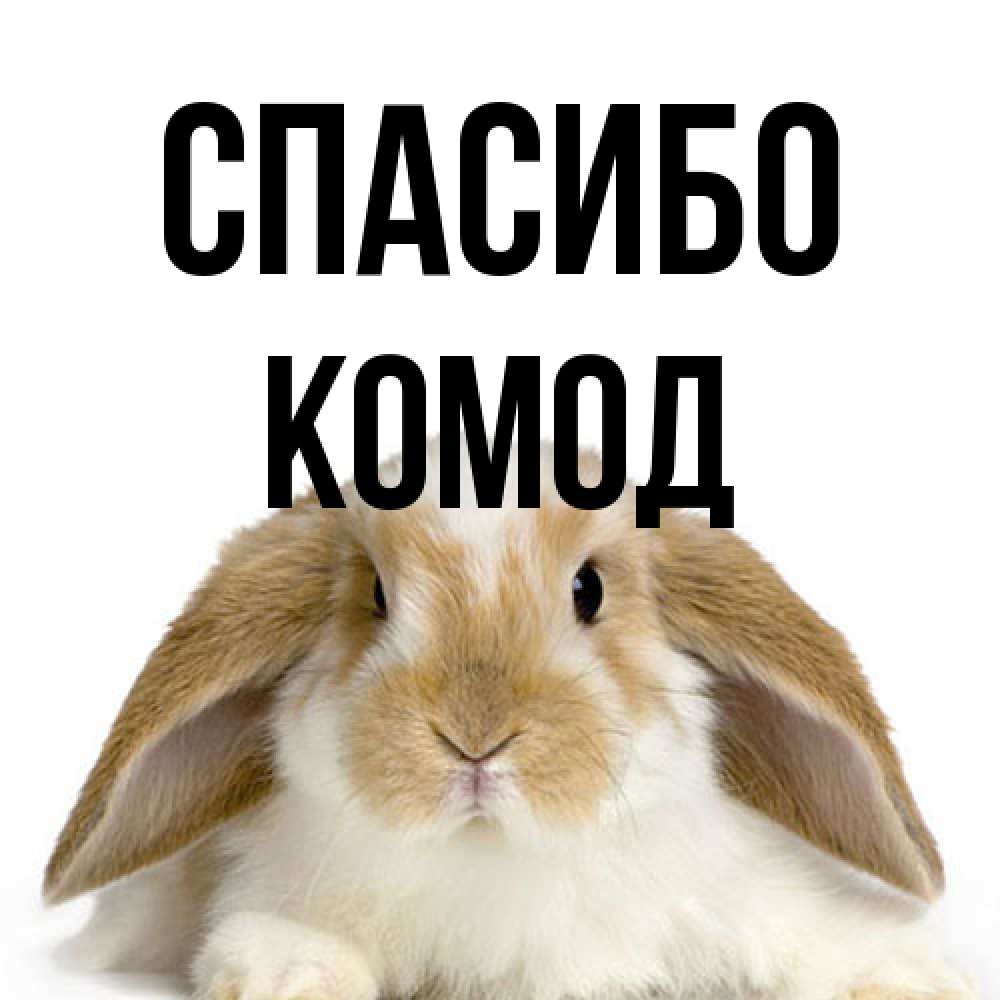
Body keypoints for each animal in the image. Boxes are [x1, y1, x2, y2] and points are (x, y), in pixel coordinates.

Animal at [45, 441, 975, 1000]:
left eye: (589, 589)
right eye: (376, 595)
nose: (475, 737)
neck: (495, 858)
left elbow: (816, 938)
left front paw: (908, 978)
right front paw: (289, 976)